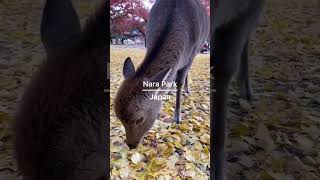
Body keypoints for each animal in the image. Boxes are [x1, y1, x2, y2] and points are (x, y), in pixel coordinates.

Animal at [114, 0, 209, 149]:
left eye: (139, 119)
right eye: (118, 117)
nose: (131, 145)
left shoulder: (192, 52)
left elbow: (180, 80)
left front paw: (177, 117)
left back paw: (186, 89)